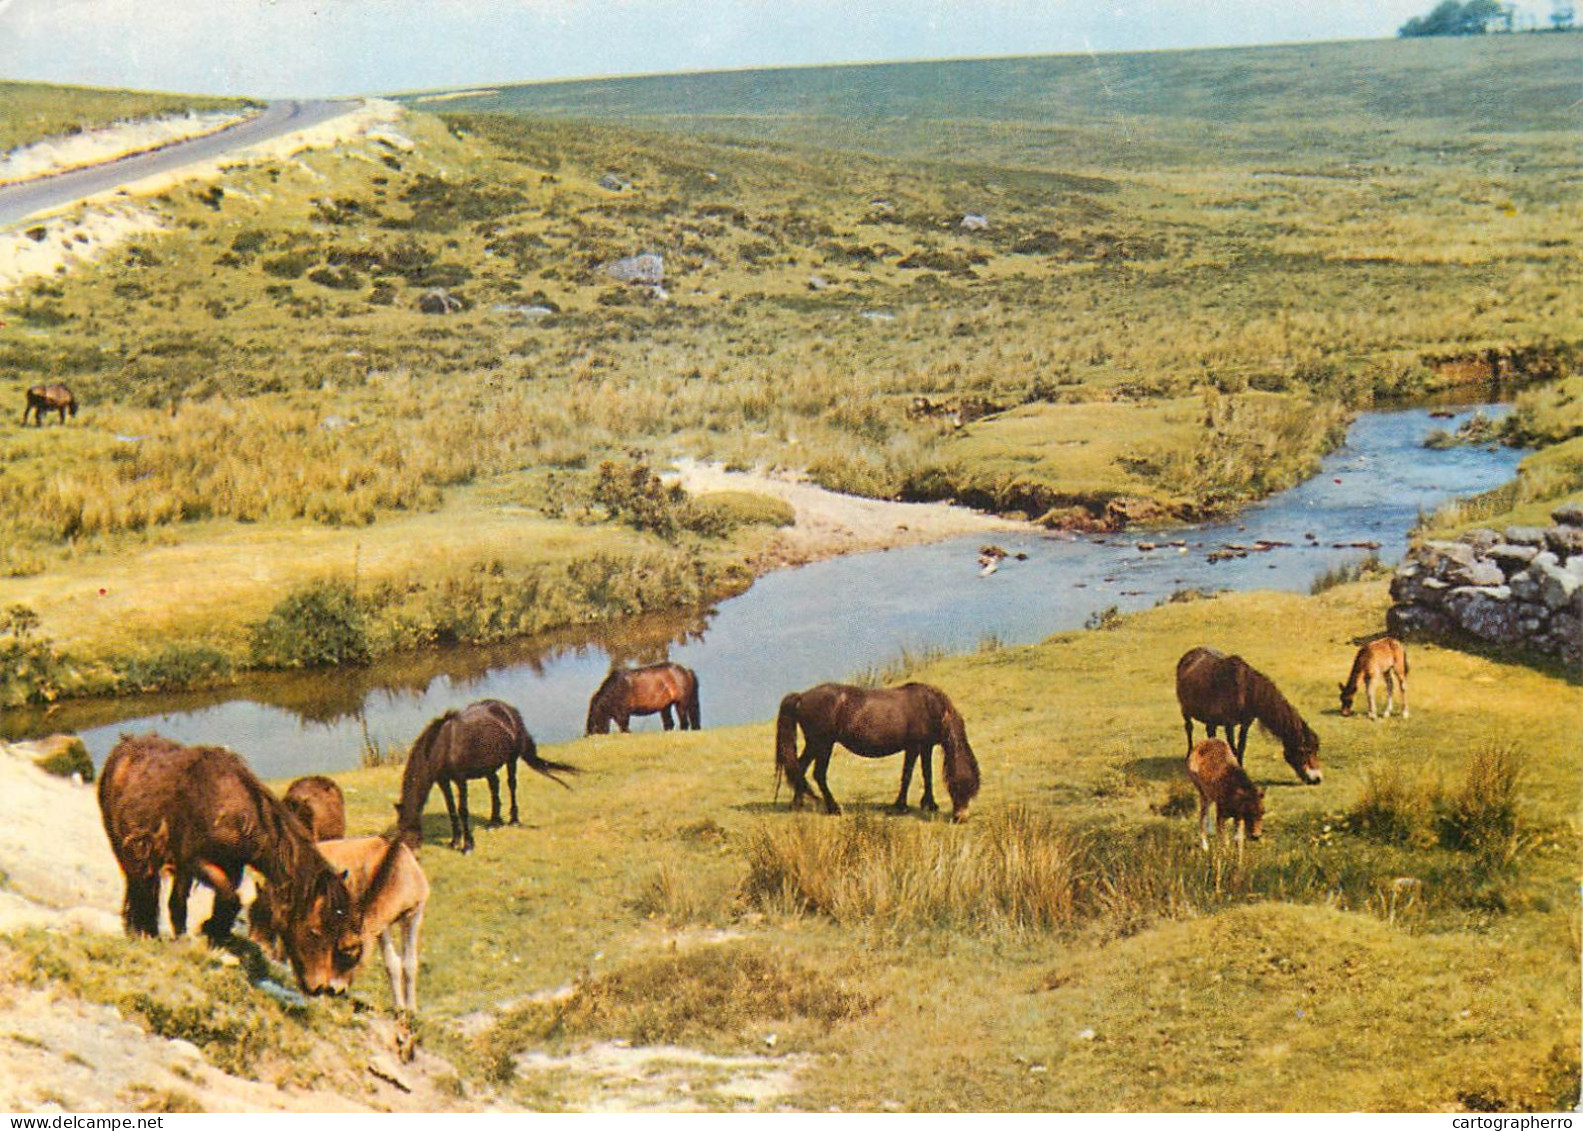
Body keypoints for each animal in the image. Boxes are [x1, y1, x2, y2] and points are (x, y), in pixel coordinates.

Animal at [96, 731, 364, 988]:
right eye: (314, 931)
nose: (321, 987)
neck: (231, 811)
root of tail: (122, 748)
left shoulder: (232, 866)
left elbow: (226, 900)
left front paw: (215, 934)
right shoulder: (196, 861)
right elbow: (229, 896)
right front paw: (210, 929)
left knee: (170, 900)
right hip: (128, 848)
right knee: (139, 886)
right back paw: (141, 931)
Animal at [394, 696, 579, 849]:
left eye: (408, 835)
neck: (444, 746)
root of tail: (509, 710)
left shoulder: (460, 780)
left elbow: (462, 810)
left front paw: (468, 845)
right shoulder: (443, 781)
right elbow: (451, 809)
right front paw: (455, 842)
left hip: (511, 760)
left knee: (511, 785)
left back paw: (513, 820)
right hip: (489, 767)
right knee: (494, 785)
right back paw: (494, 822)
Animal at [775, 677, 981, 817]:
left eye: (973, 788)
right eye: (959, 784)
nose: (960, 817)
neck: (930, 707)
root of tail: (801, 697)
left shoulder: (925, 747)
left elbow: (926, 774)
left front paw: (929, 805)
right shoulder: (914, 747)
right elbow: (907, 776)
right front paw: (901, 805)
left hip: (814, 745)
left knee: (800, 768)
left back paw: (797, 803)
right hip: (822, 744)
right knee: (818, 774)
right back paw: (834, 808)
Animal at [1177, 643, 1323, 785]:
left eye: (1315, 750)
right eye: (1305, 751)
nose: (1317, 779)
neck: (1245, 691)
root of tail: (1189, 654)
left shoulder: (1246, 723)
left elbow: (1241, 747)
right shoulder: (1229, 724)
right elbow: (1233, 748)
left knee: (1211, 733)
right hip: (1185, 709)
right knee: (1189, 728)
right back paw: (1189, 755)